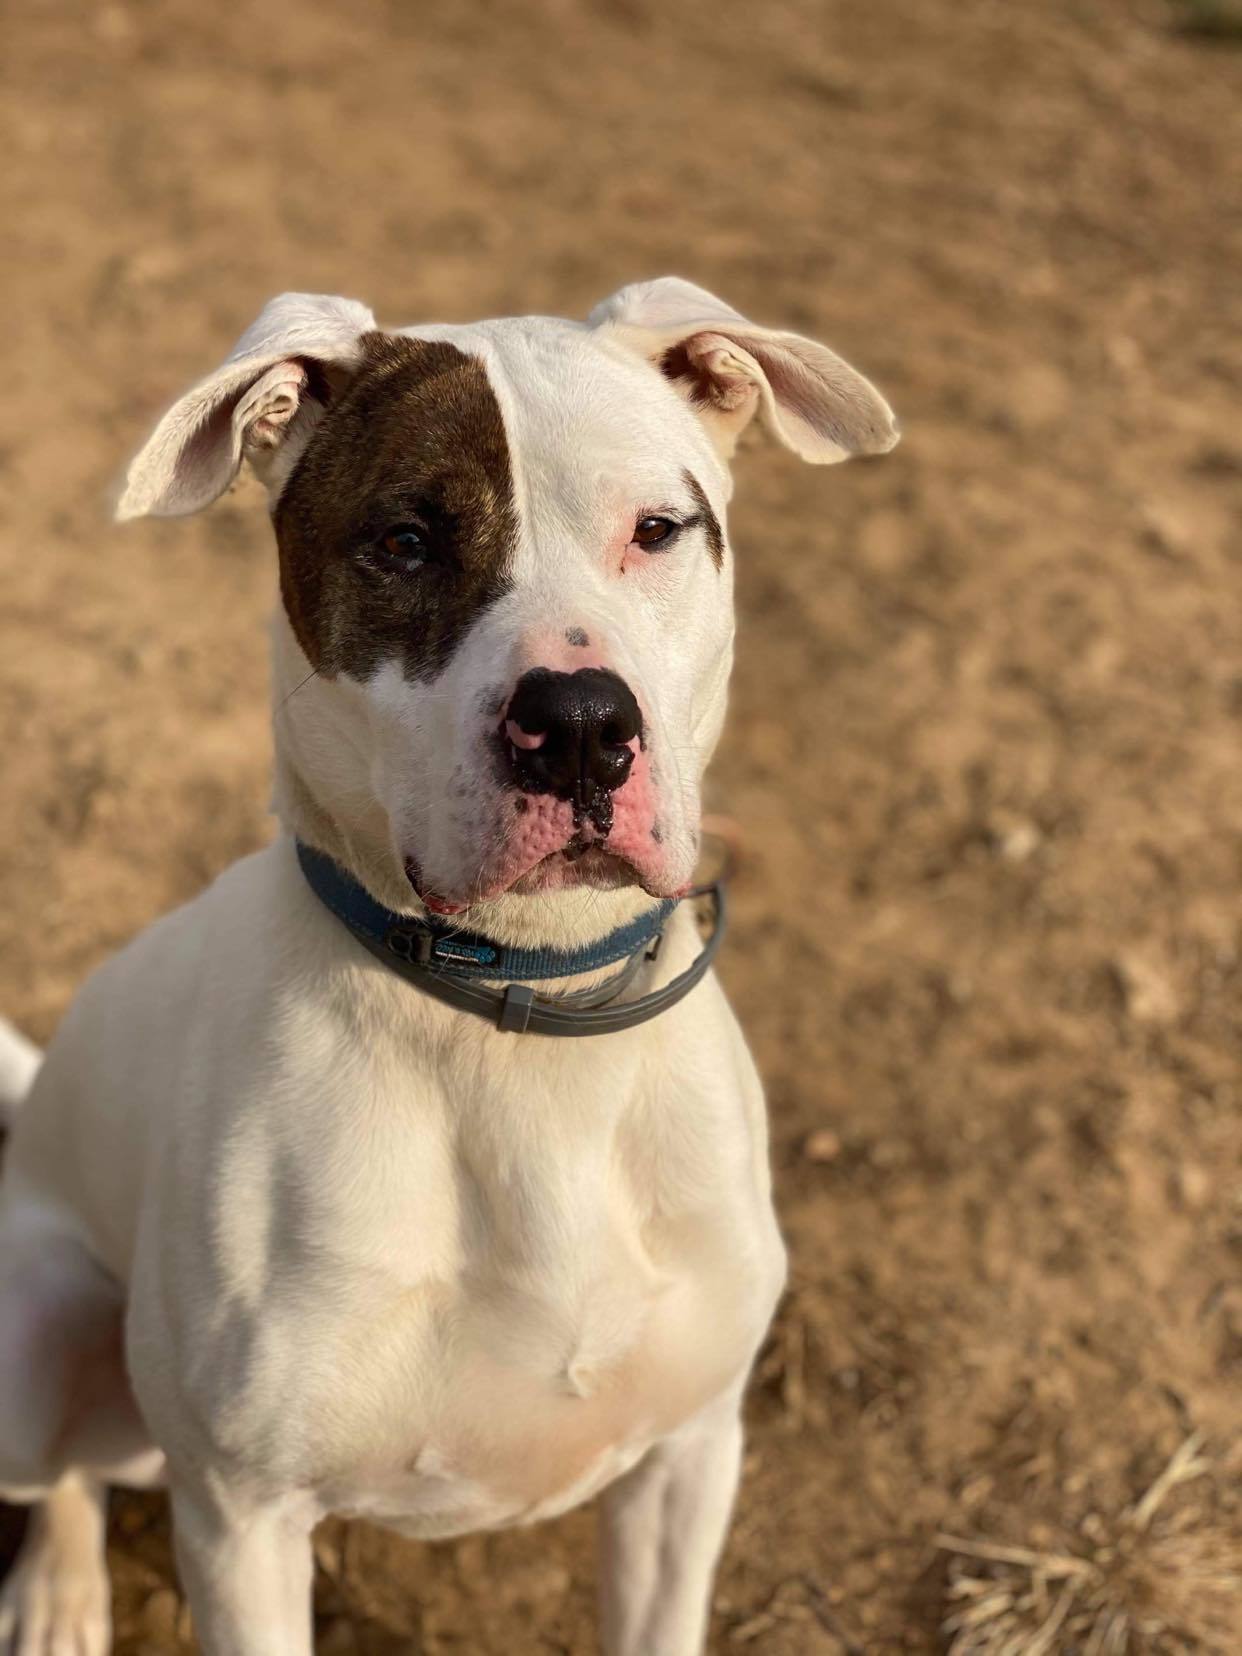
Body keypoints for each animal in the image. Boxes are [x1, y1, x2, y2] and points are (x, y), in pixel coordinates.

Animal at [0, 278, 894, 1649]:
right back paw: (56, 1593)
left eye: (659, 530)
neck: (521, 1008)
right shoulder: (241, 1524)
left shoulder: (689, 1456)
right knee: (61, 1477)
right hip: (34, 1335)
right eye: (407, 541)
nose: (578, 724)